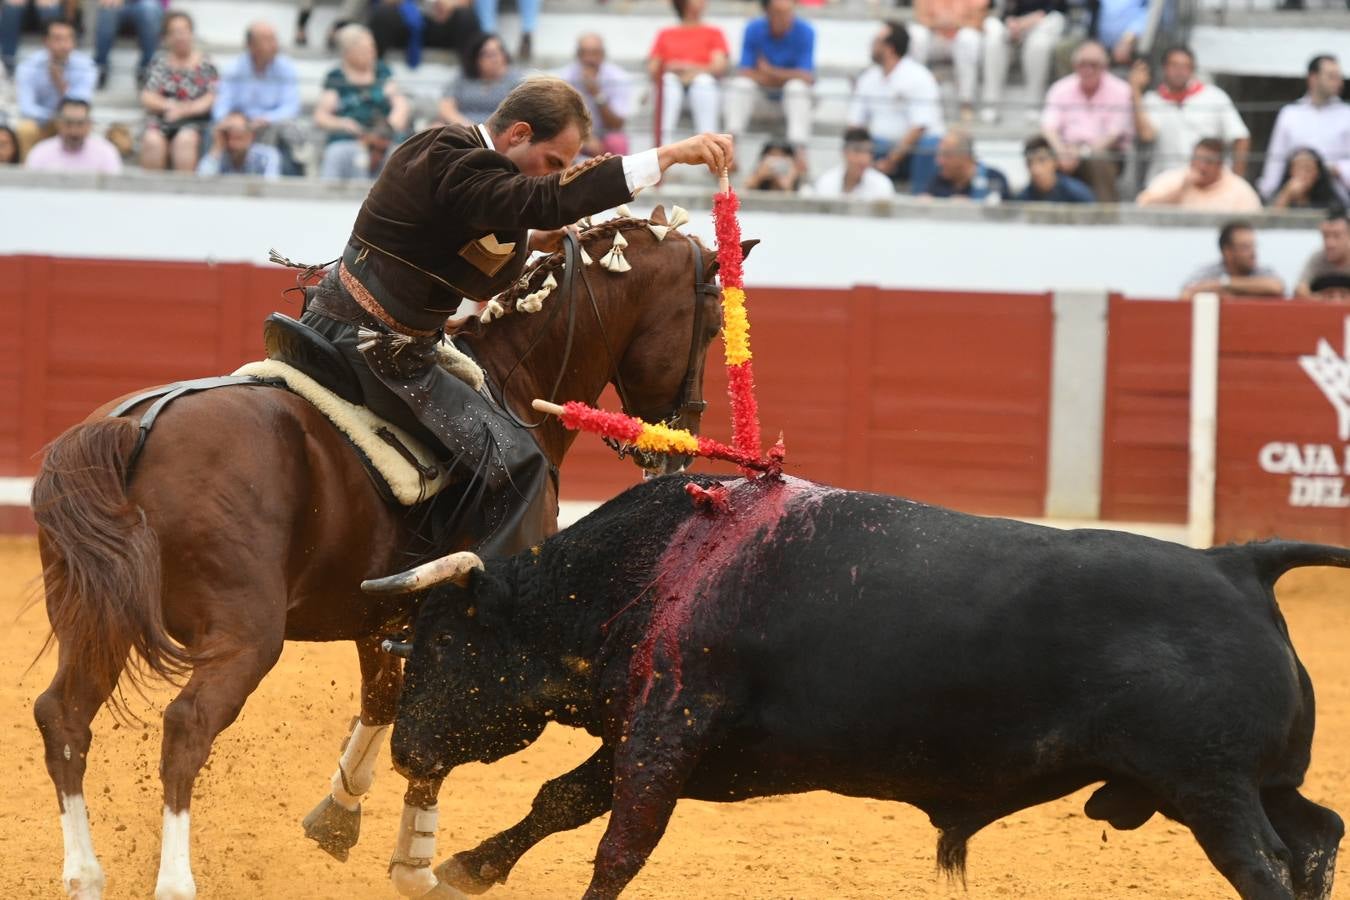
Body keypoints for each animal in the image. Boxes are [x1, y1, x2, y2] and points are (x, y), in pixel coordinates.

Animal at [26, 218, 750, 900]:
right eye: (714, 323)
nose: (679, 441)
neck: (513, 384)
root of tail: (132, 428)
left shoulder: (381, 616)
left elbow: (383, 705)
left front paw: (339, 817)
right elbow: (428, 736)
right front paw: (416, 868)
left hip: (96, 619)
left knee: (63, 716)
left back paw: (84, 875)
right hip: (245, 634)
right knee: (186, 726)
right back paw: (175, 881)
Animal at [388, 474, 1339, 895]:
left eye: (440, 645)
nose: (400, 751)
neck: (657, 567)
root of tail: (1238, 564)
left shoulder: (670, 723)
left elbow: (621, 841)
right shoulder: (654, 732)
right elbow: (561, 798)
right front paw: (466, 867)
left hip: (1208, 786)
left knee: (1263, 864)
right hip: (1249, 783)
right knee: (1316, 833)